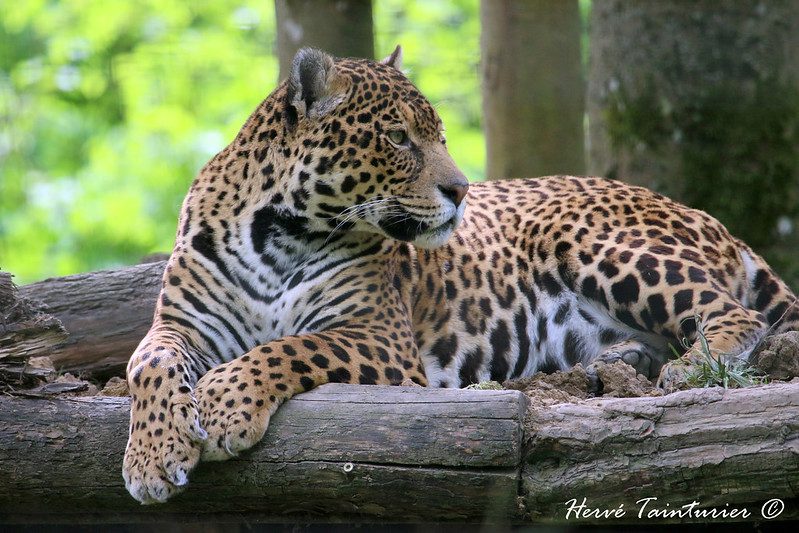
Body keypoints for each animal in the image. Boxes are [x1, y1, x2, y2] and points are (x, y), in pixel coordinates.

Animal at [123, 46, 799, 504]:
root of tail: (707, 216)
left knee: (737, 316)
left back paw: (692, 367)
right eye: (398, 138)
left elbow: (286, 348)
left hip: (584, 238)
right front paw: (151, 457)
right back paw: (621, 363)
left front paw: (224, 407)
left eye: (438, 135)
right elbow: (147, 365)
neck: (279, 233)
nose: (462, 190)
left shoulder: (379, 339)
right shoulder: (184, 327)